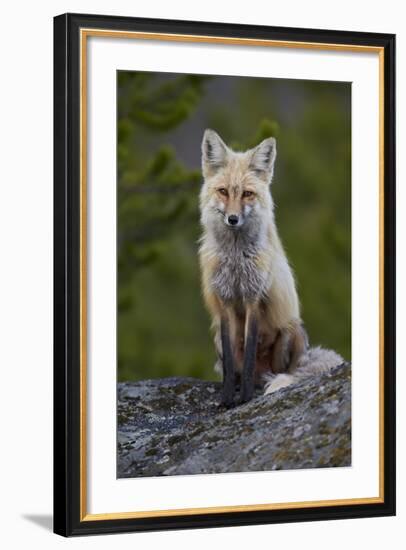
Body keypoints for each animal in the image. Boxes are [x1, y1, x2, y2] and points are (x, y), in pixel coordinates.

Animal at [197, 128, 342, 406]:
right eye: (223, 191)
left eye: (247, 194)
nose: (233, 219)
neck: (236, 259)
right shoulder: (224, 301)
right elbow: (231, 364)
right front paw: (227, 398)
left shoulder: (254, 297)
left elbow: (249, 353)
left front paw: (244, 399)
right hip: (217, 337)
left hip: (290, 330)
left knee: (280, 371)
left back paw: (264, 383)